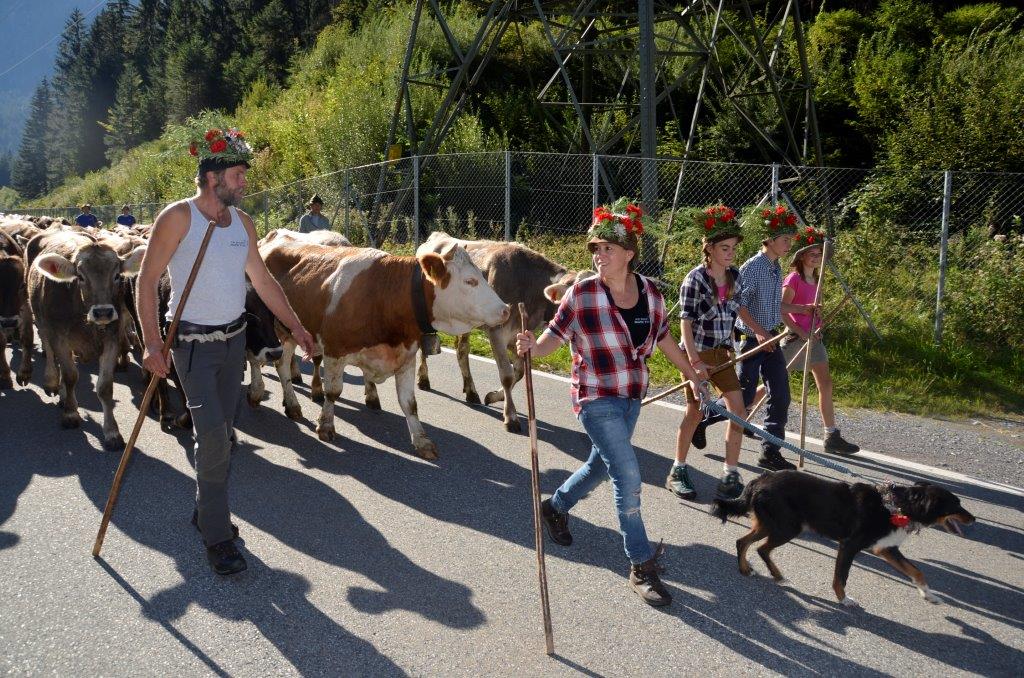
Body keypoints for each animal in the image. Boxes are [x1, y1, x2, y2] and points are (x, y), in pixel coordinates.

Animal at [26, 231, 146, 448]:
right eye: (80, 276)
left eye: (117, 275)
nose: (103, 312)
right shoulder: (60, 337)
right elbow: (70, 376)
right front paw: (71, 414)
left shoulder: (112, 339)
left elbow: (105, 387)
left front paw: (112, 432)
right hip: (40, 319)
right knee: (49, 352)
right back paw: (52, 382)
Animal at [258, 239, 509, 459]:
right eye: (470, 281)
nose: (506, 309)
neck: (385, 293)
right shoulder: (335, 352)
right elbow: (333, 392)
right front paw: (326, 426)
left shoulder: (406, 358)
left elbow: (410, 404)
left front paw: (422, 442)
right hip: (281, 332)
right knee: (278, 365)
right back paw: (286, 402)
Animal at [414, 232, 588, 432]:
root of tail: (438, 236)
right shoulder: (496, 332)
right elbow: (507, 374)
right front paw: (510, 416)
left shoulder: (520, 335)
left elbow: (519, 372)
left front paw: (495, 396)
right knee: (425, 345)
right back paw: (423, 379)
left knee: (462, 351)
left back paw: (471, 391)